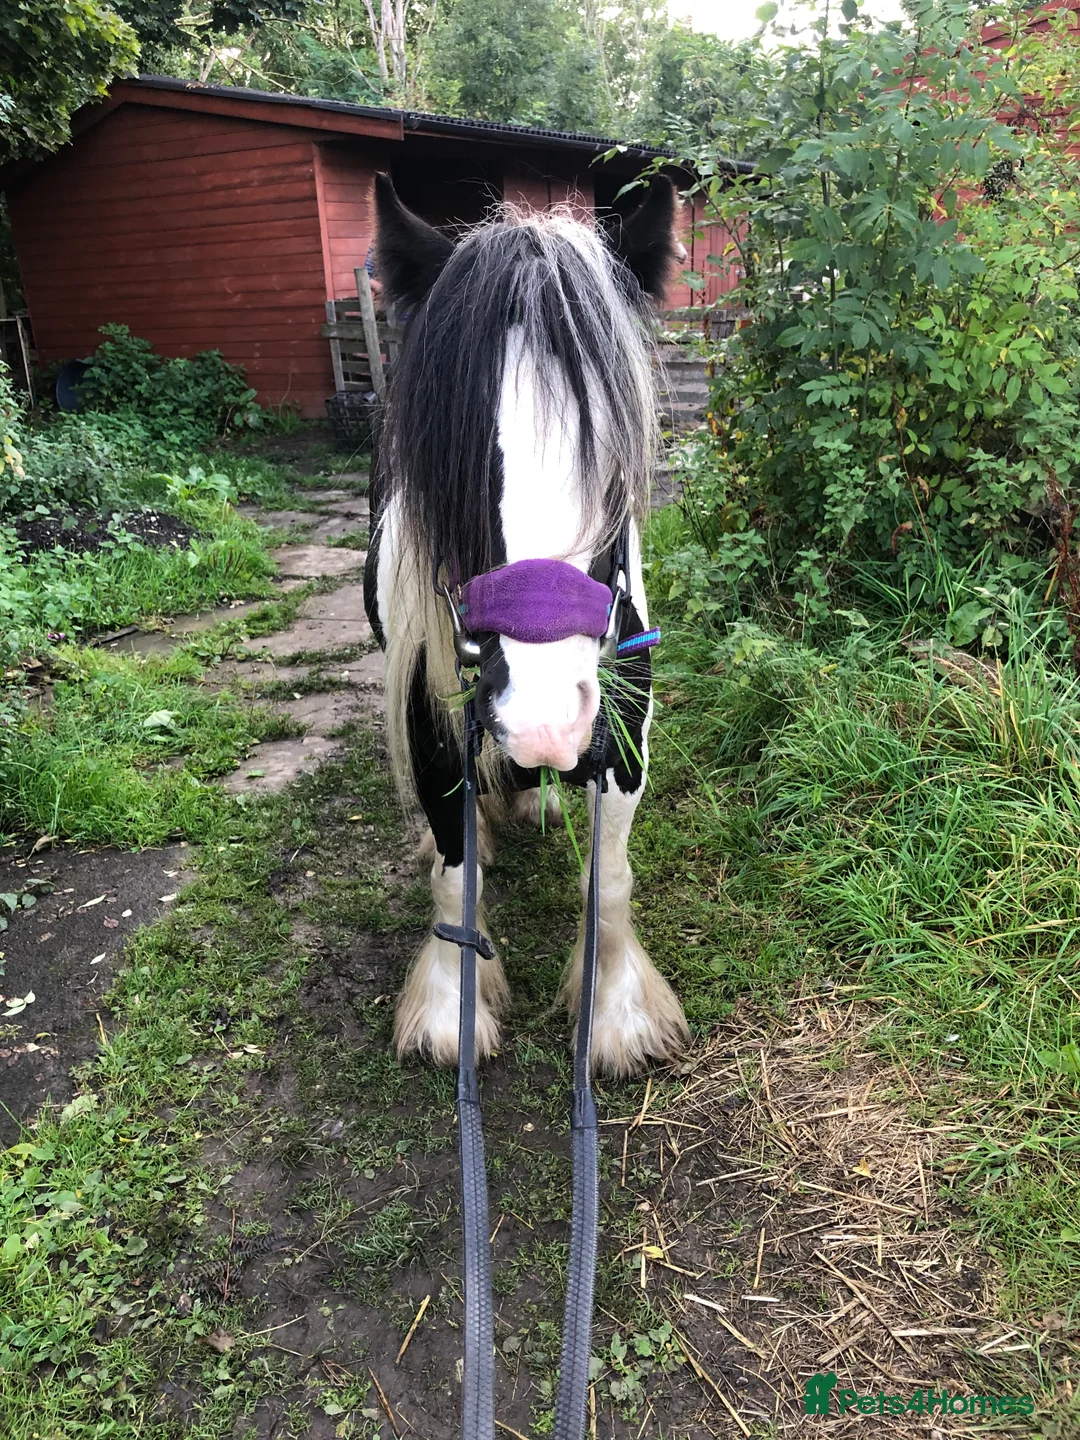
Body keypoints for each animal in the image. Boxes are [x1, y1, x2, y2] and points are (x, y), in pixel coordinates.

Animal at [363, 173, 690, 1078]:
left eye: (614, 473)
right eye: (457, 467)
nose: (544, 727)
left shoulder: (621, 740)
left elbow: (608, 880)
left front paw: (614, 1015)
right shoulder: (434, 726)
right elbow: (452, 875)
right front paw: (454, 1009)